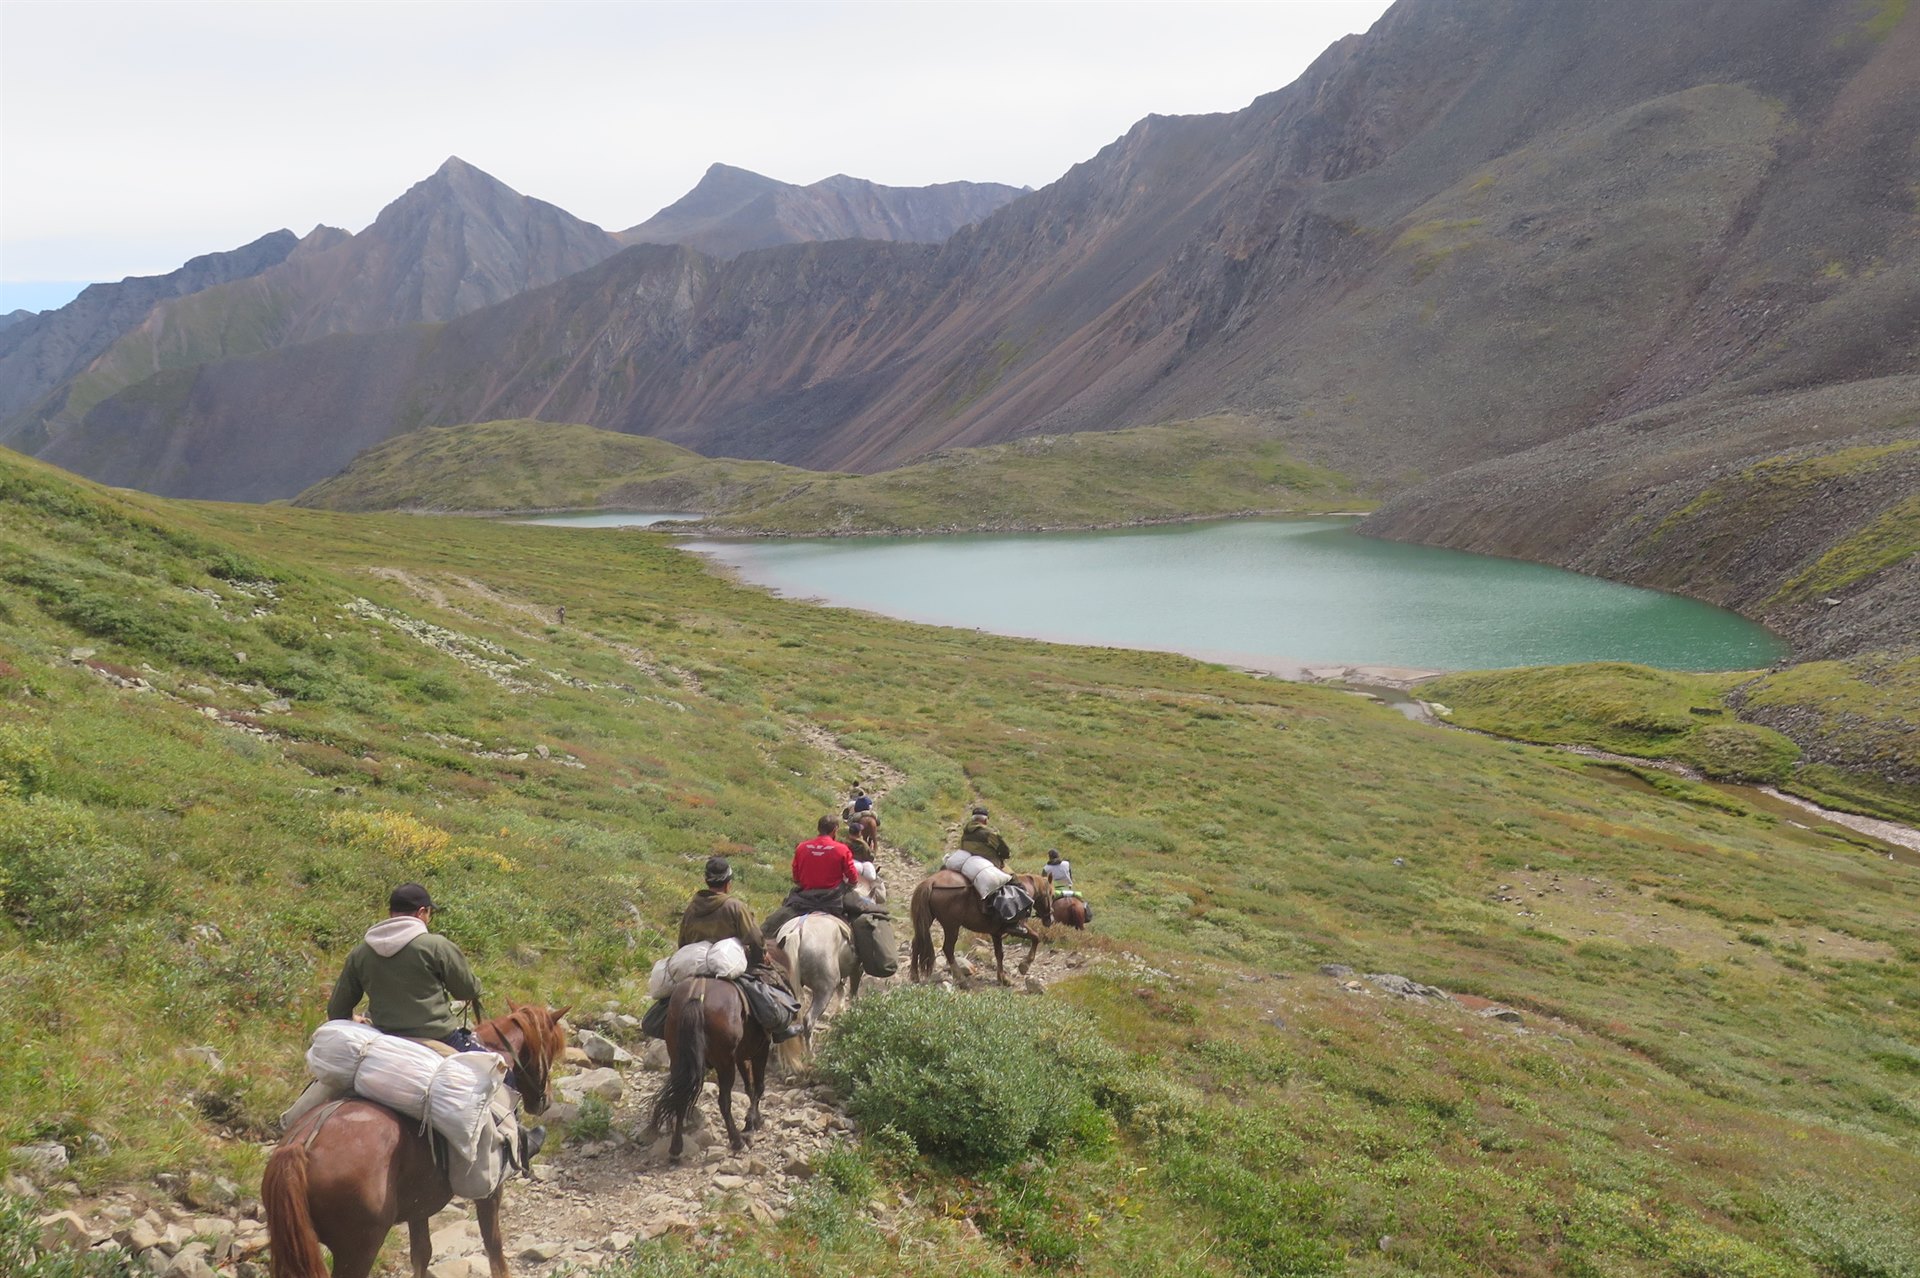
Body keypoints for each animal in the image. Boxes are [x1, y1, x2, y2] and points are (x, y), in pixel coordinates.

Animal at [263, 997, 564, 1274]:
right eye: (550, 1047)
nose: (545, 1100)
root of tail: (301, 1147)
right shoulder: (490, 1191)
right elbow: (494, 1248)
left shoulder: (420, 1206)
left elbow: (422, 1252)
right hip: (358, 1250)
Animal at [648, 940, 791, 1159]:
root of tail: (697, 994)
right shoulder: (760, 1051)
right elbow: (758, 1086)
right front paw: (752, 1123)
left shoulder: (741, 1056)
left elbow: (749, 1087)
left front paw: (753, 1119)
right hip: (724, 1064)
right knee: (724, 1101)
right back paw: (736, 1141)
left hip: (678, 1059)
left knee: (680, 1097)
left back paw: (676, 1148)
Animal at [910, 867, 1059, 982]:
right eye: (1052, 895)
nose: (1050, 919)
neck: (1025, 891)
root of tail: (932, 881)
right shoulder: (1016, 928)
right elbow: (1036, 937)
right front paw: (1024, 965)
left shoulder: (996, 933)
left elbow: (999, 954)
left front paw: (1003, 978)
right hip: (951, 926)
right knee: (948, 948)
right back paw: (961, 979)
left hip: (927, 920)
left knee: (917, 943)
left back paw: (914, 976)